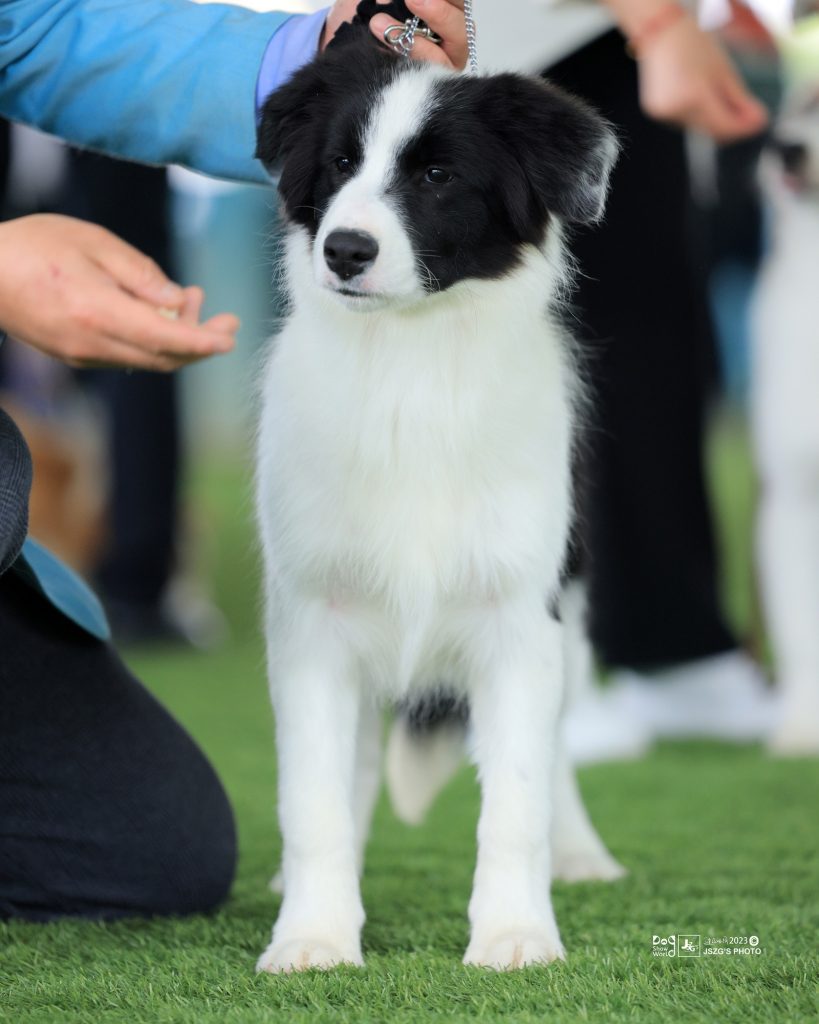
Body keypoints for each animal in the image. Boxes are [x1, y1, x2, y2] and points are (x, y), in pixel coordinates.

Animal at [254, 31, 622, 973]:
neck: (408, 371)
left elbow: (517, 802)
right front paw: (312, 936)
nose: (344, 250)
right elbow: (312, 799)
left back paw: (581, 856)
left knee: (558, 753)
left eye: (436, 176)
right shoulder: (314, 620)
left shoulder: (520, 619)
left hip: (571, 608)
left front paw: (515, 936)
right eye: (341, 163)